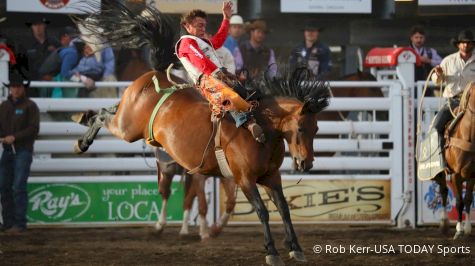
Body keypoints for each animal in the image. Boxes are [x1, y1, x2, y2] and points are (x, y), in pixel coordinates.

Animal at [436, 84, 475, 239]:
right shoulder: (455, 175)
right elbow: (459, 202)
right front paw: (459, 230)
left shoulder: (472, 175)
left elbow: (468, 199)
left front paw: (468, 228)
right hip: (440, 173)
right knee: (444, 191)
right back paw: (444, 223)